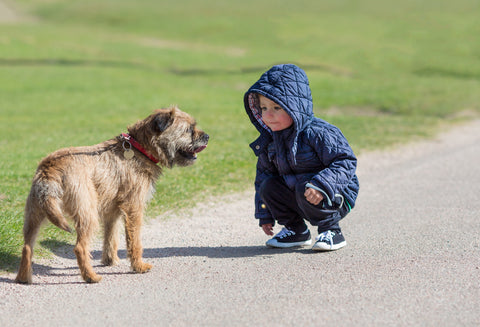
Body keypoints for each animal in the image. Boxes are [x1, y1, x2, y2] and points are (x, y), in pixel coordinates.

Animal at [14, 107, 208, 284]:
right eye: (189, 129)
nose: (207, 136)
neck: (139, 148)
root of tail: (50, 169)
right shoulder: (134, 207)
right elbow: (134, 240)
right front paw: (138, 266)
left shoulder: (112, 211)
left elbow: (111, 237)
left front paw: (110, 260)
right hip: (87, 214)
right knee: (80, 248)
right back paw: (91, 277)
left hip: (34, 215)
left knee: (27, 247)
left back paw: (24, 278)